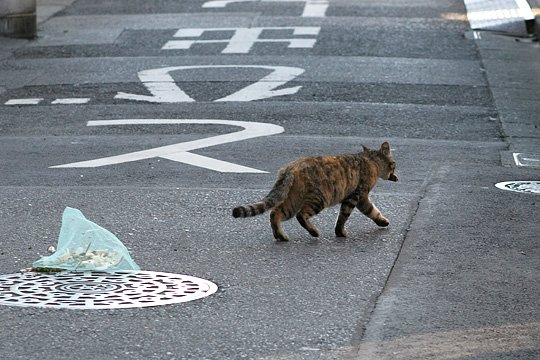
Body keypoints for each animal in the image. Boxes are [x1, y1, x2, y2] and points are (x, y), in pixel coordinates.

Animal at [231, 142, 396, 240]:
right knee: (300, 215)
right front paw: (341, 232)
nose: (396, 175)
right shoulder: (357, 196)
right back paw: (313, 232)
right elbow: (354, 214)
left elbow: (370, 212)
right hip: (319, 198)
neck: (371, 160)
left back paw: (280, 235)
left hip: (293, 199)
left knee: (275, 213)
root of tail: (290, 167)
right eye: (394, 164)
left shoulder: (354, 196)